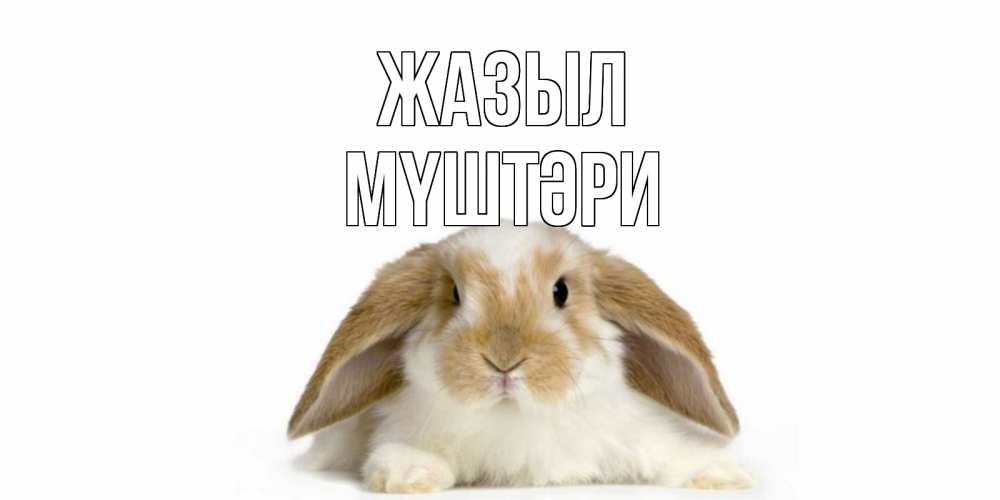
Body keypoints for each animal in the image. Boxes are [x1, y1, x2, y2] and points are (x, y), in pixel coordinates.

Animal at [288, 223, 753, 493]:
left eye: (561, 291)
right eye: (454, 294)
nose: (504, 359)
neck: (514, 416)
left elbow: (671, 452)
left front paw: (724, 475)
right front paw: (409, 475)